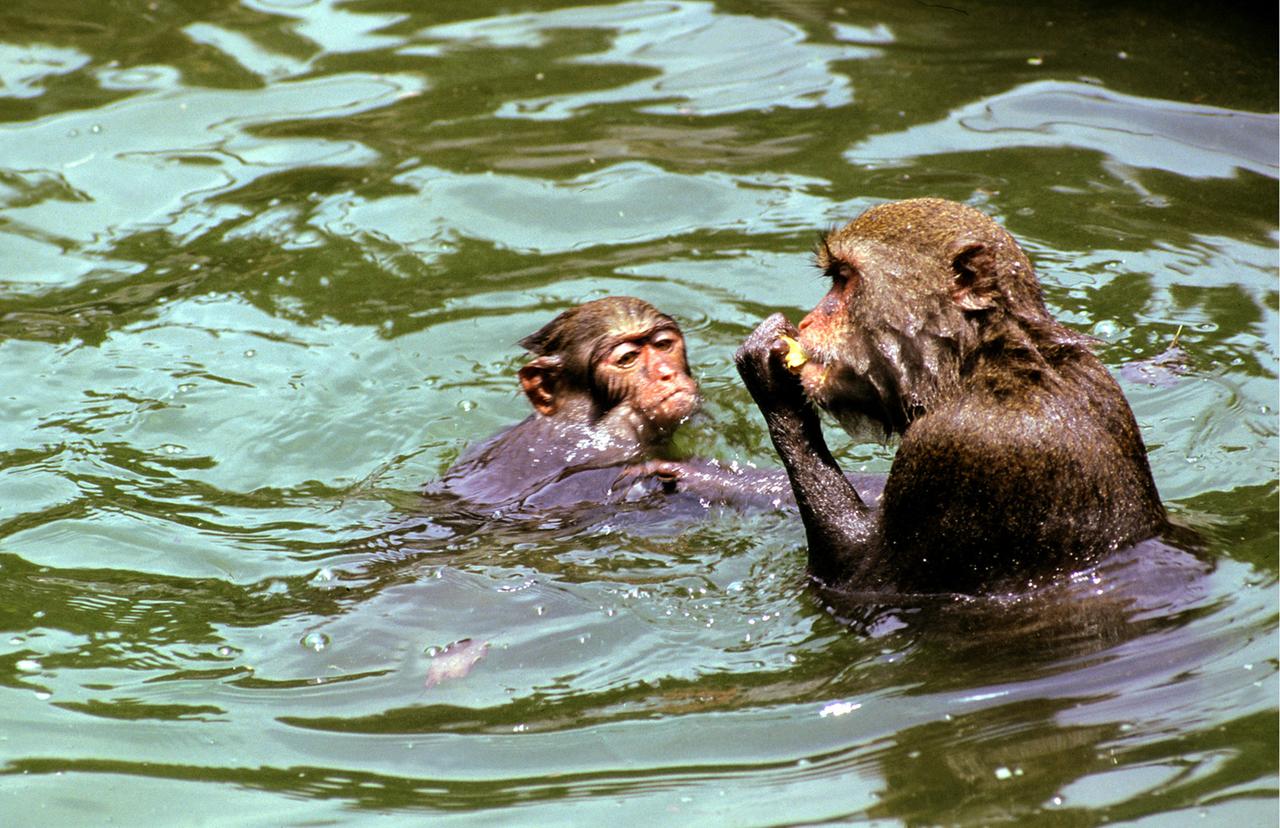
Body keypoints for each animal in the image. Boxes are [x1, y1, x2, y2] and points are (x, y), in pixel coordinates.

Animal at [734, 198, 1169, 595]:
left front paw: (770, 379)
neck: (980, 366)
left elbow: (857, 580)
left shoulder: (955, 446)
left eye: (844, 279)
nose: (808, 321)